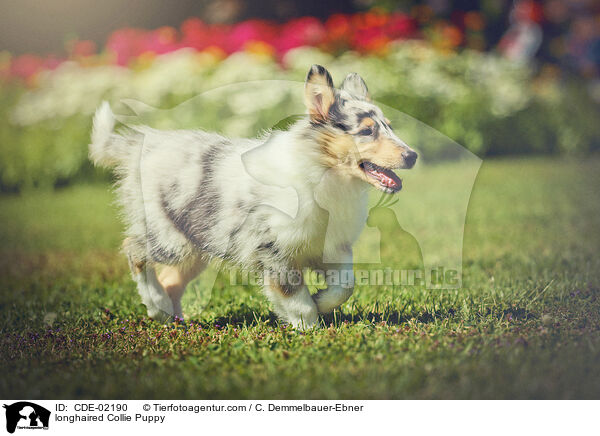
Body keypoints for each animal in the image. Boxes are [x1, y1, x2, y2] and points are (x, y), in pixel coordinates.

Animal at [90, 65, 418, 328]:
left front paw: (321, 301)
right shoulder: (272, 250)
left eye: (389, 126)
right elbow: (294, 296)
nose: (412, 156)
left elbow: (345, 286)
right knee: (134, 250)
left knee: (171, 279)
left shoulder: (332, 247)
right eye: (367, 131)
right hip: (170, 237)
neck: (324, 174)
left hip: (195, 244)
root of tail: (142, 144)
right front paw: (309, 327)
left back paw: (169, 316)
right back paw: (157, 306)